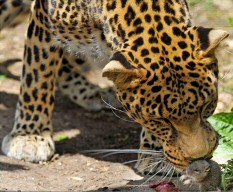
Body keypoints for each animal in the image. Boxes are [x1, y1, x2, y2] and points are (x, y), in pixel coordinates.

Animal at [0, 0, 228, 173]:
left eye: (206, 106)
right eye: (160, 120)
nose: (199, 158)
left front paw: (156, 154)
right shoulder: (44, 19)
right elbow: (37, 75)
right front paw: (29, 136)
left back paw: (88, 91)